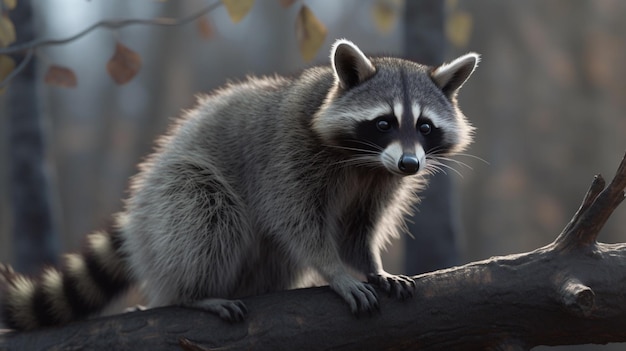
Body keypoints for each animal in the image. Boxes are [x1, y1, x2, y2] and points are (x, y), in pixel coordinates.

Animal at [1, 40, 478, 332]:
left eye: (424, 126)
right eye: (383, 123)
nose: (410, 164)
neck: (365, 161)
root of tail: (139, 217)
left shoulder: (380, 180)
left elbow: (358, 227)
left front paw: (371, 263)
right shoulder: (287, 153)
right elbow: (295, 219)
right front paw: (336, 270)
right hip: (172, 194)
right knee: (206, 211)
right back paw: (191, 294)